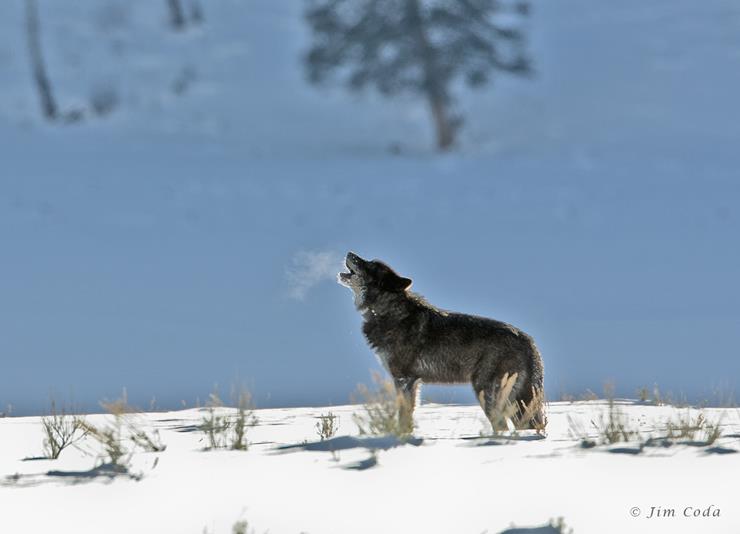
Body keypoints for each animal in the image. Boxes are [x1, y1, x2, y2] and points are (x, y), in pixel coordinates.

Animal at [340, 251, 544, 432]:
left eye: (370, 265)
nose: (349, 252)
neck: (386, 312)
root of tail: (529, 341)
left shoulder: (403, 379)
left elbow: (403, 415)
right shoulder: (413, 382)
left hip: (486, 392)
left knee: (501, 426)